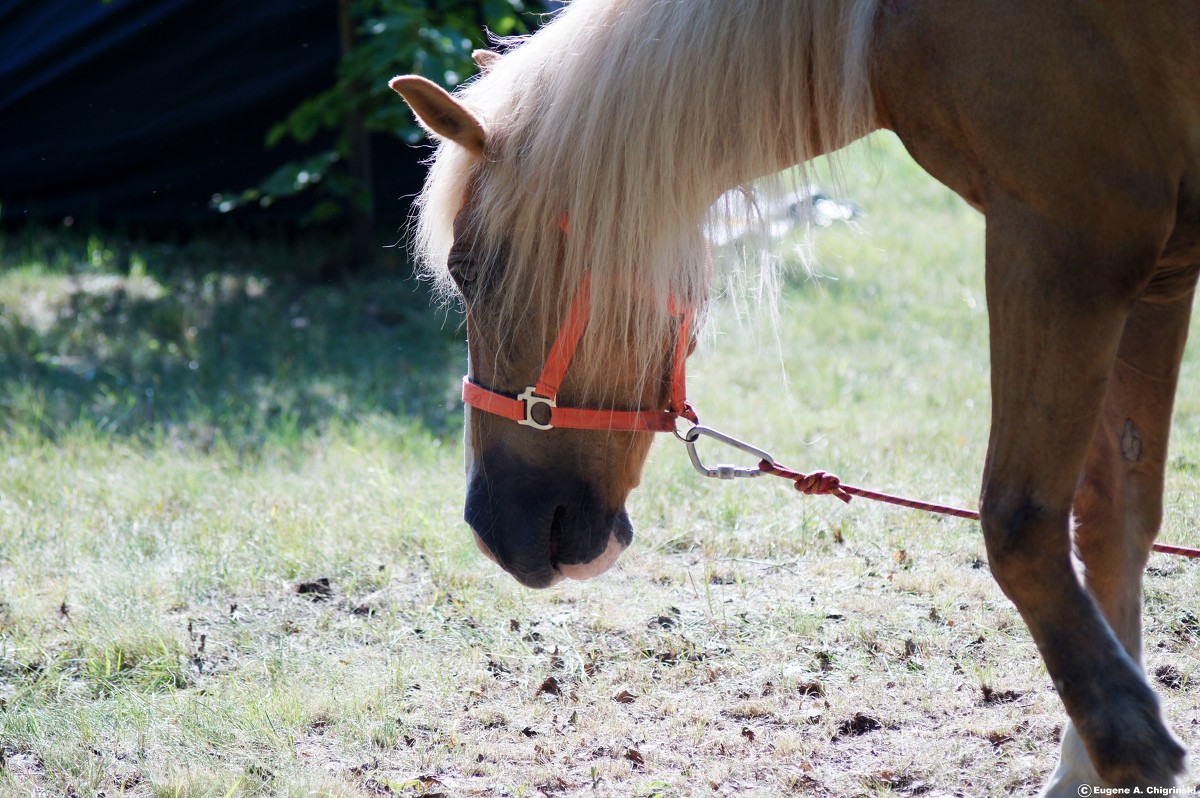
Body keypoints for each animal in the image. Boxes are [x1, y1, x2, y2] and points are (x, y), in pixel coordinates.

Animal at [388, 0, 1195, 792]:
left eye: (470, 268)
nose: (492, 530)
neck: (889, 25)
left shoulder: (1068, 243)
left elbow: (1019, 521)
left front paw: (1127, 746)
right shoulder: (1159, 270)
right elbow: (1114, 517)